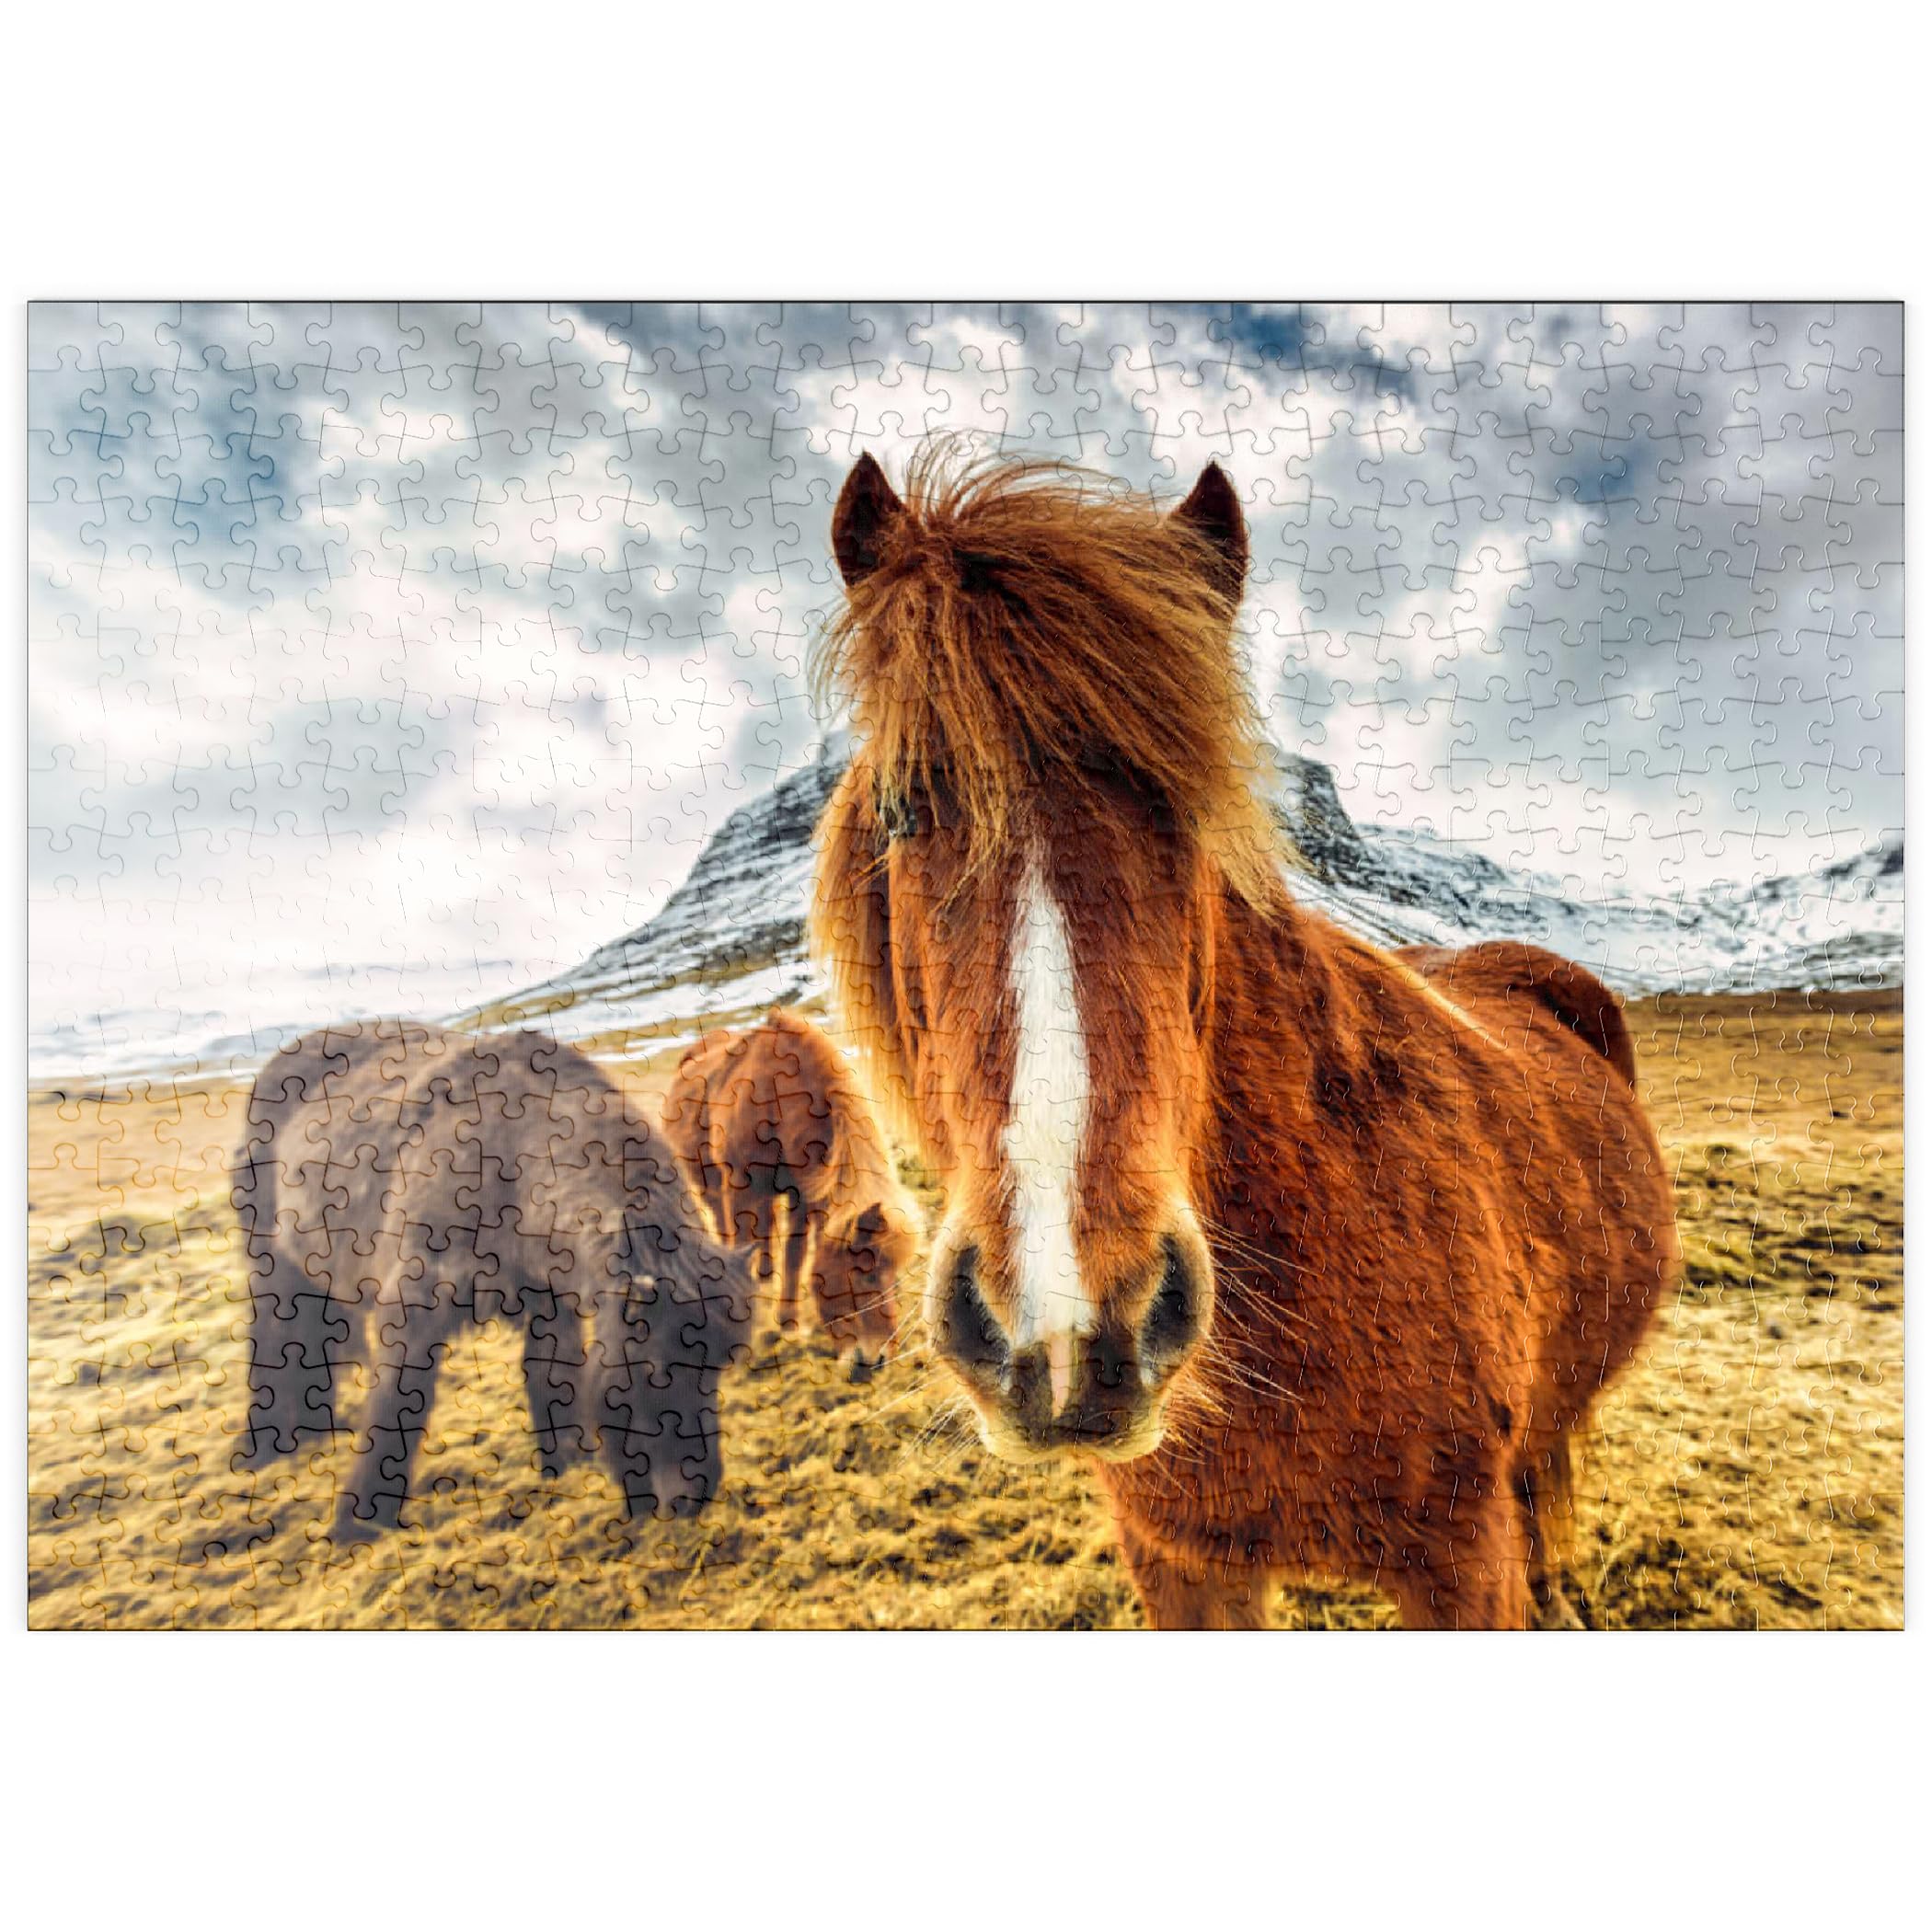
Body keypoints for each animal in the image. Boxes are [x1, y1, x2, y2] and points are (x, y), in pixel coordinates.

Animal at [233, 1020, 755, 1539]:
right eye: (655, 1368)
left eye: (718, 1368)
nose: (693, 1496)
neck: (507, 1155)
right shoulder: (412, 1312)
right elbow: (393, 1407)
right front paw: (358, 1523)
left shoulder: (551, 1303)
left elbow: (549, 1380)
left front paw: (564, 1465)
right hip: (273, 1269)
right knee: (274, 1342)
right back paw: (265, 1447)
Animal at [660, 1008, 920, 1377]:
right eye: (865, 1273)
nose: (877, 1360)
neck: (778, 1099)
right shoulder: (741, 1187)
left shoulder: (803, 1198)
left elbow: (795, 1257)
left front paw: (789, 1323)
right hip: (710, 1187)